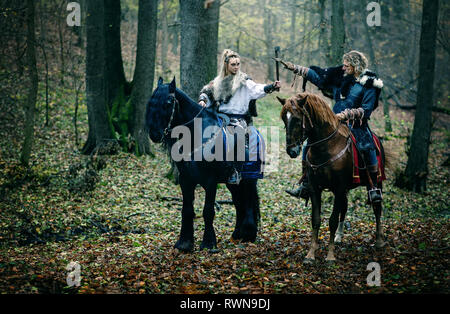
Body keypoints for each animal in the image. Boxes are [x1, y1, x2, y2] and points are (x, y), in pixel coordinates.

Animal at [146, 78, 262, 253]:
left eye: (169, 102)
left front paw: (208, 243)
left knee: (248, 202)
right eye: (151, 101)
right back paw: (237, 234)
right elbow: (187, 210)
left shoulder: (210, 181)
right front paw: (184, 243)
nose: (154, 134)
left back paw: (249, 234)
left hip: (249, 179)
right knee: (238, 203)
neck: (195, 134)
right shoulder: (186, 180)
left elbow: (208, 211)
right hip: (233, 182)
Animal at [278, 93, 386, 262]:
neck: (326, 147)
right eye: (284, 118)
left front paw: (330, 256)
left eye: (296, 119)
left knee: (377, 208)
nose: (291, 150)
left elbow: (332, 221)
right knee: (345, 207)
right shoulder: (316, 188)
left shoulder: (340, 188)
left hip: (376, 182)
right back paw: (339, 237)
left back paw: (379, 240)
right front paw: (311, 254)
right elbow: (316, 219)